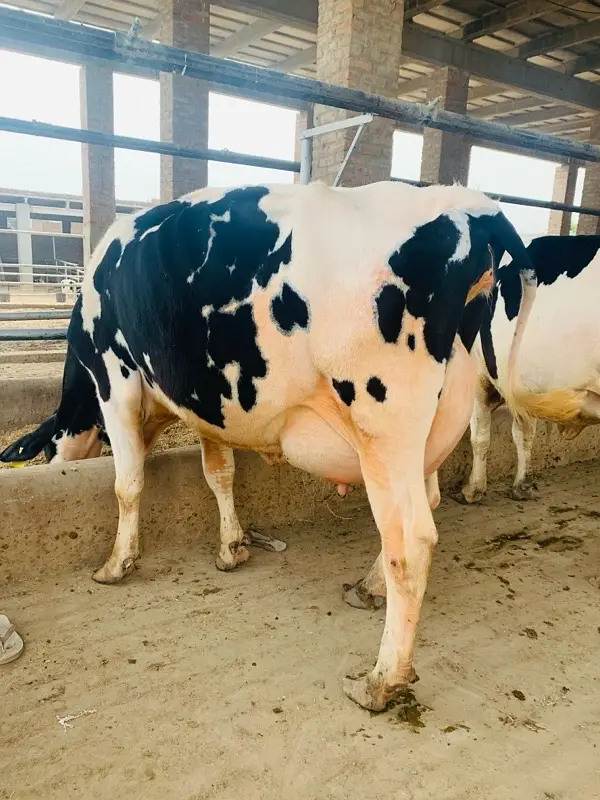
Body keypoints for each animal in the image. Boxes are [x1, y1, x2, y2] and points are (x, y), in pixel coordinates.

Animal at [0, 181, 537, 711]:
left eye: (47, 452)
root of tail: (470, 206)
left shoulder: (117, 379)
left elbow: (127, 484)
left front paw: (116, 564)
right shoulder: (207, 402)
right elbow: (218, 473)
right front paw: (231, 547)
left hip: (384, 425)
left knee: (410, 542)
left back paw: (380, 681)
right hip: (435, 421)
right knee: (426, 502)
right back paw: (367, 589)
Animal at [461, 234, 600, 505]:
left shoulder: (480, 375)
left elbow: (480, 435)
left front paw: (474, 489)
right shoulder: (526, 385)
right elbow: (525, 434)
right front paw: (522, 485)